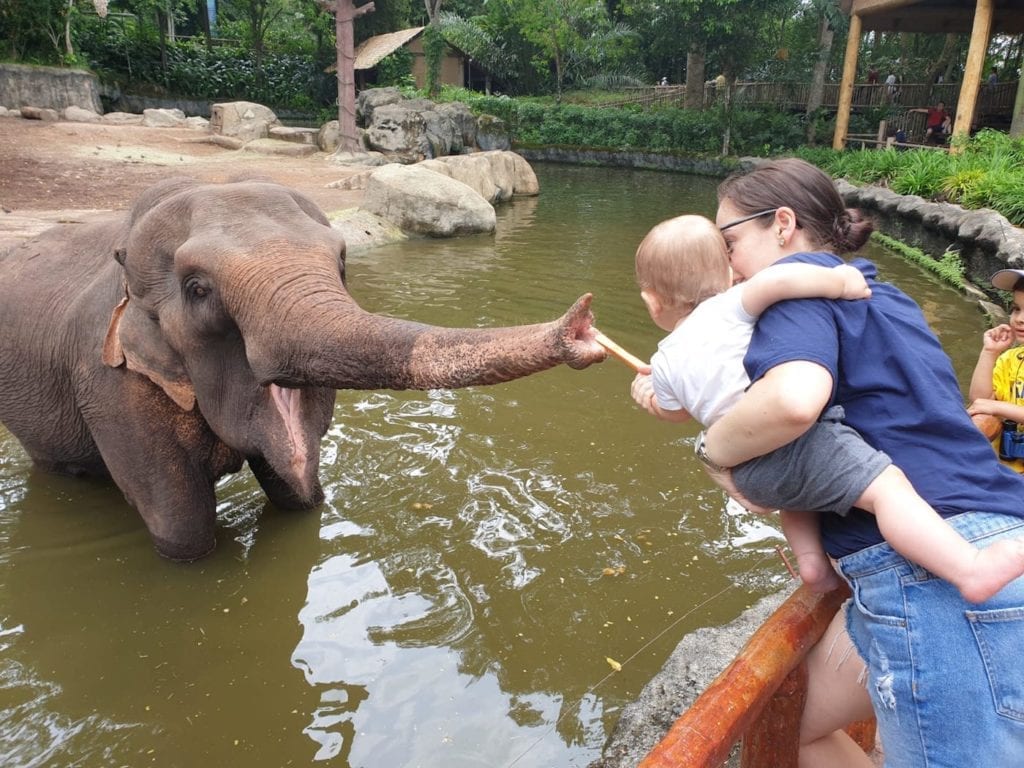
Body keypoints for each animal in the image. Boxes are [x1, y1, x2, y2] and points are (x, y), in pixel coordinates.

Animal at [0, 177, 606, 561]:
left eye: (341, 262)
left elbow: (299, 497)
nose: (583, 327)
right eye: (198, 289)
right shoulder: (110, 386)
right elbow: (183, 531)